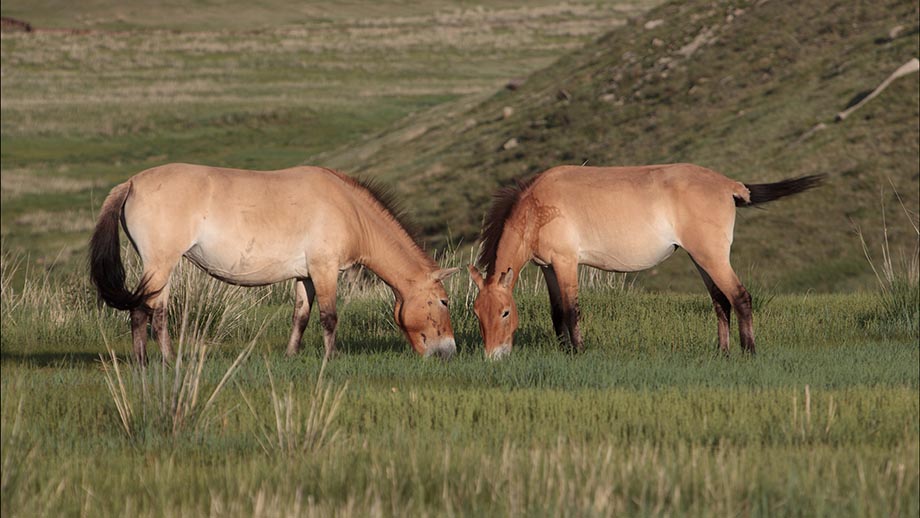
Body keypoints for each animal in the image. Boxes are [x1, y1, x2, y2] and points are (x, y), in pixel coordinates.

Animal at [90, 164, 456, 366]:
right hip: (159, 266)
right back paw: (144, 363)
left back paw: (167, 360)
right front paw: (331, 358)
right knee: (141, 311)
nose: (449, 351)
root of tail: (132, 183)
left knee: (160, 313)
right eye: (443, 301)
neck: (348, 208)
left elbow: (301, 316)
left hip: (162, 269)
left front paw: (291, 355)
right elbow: (329, 317)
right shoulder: (324, 270)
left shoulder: (305, 276)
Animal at [468, 165, 828, 360]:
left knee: (739, 297)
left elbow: (571, 311)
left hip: (712, 257)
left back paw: (748, 352)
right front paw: (565, 351)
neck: (536, 206)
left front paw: (579, 352)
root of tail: (729, 185)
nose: (493, 357)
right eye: (476, 314)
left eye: (504, 312)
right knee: (720, 302)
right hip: (701, 259)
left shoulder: (566, 263)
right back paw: (722, 353)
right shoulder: (548, 268)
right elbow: (557, 313)